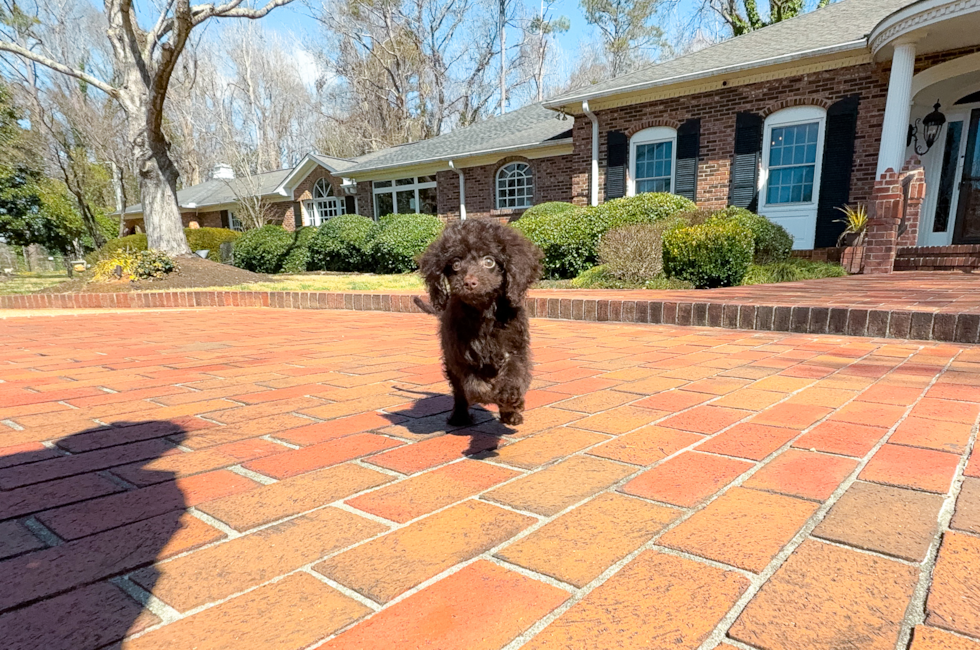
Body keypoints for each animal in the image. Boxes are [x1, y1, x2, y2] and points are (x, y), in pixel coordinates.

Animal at [416, 218, 544, 426]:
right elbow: (476, 387)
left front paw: (510, 399)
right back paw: (459, 416)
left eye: (489, 261)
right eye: (456, 264)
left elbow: (514, 374)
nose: (469, 283)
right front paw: (494, 395)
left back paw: (509, 414)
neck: (484, 314)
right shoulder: (461, 357)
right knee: (460, 392)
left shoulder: (515, 350)